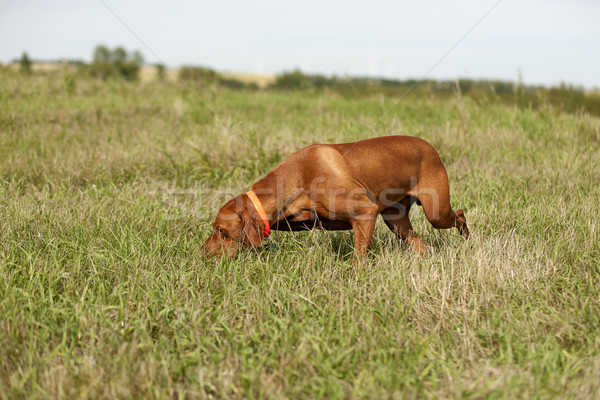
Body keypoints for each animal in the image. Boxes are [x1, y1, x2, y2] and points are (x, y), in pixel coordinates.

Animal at [202, 136, 468, 260]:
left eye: (221, 230)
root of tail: (430, 146)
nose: (201, 254)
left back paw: (467, 238)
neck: (300, 174)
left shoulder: (365, 213)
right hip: (396, 220)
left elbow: (358, 259)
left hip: (436, 212)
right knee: (421, 244)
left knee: (460, 214)